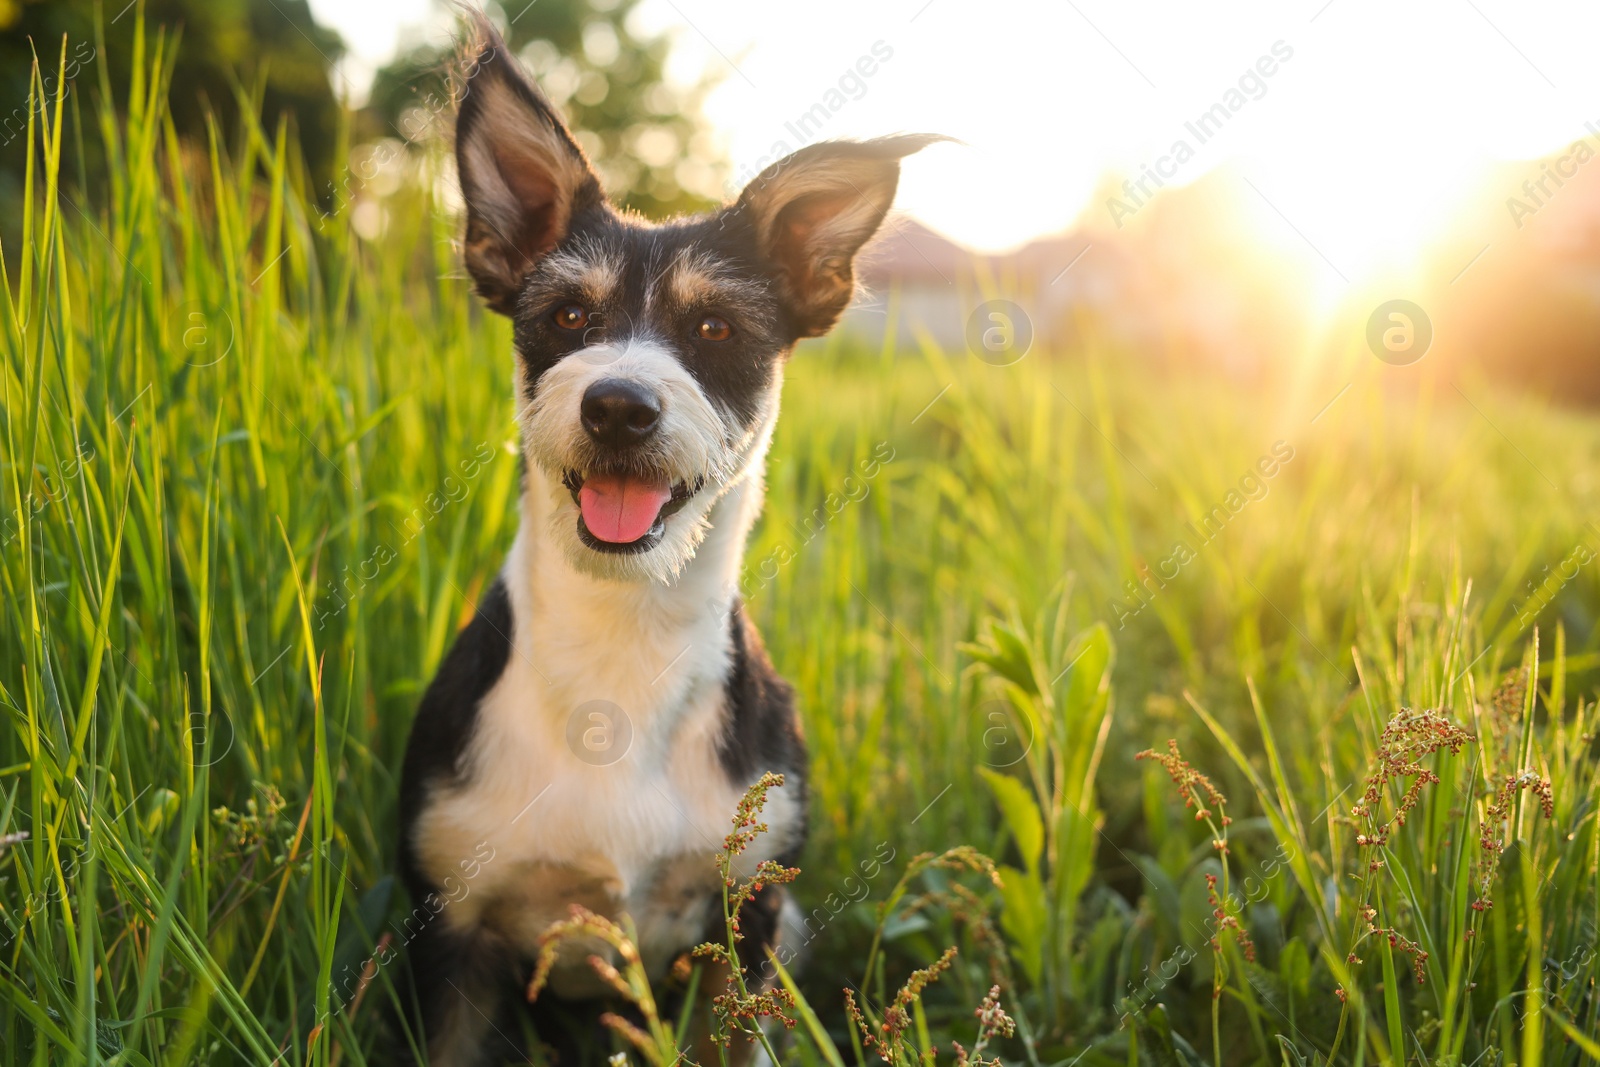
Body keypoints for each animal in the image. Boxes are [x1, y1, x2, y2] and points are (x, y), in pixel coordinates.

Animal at [392, 18, 934, 1067]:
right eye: (568, 316)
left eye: (716, 327)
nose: (618, 404)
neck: (623, 632)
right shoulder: (451, 929)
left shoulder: (747, 923)